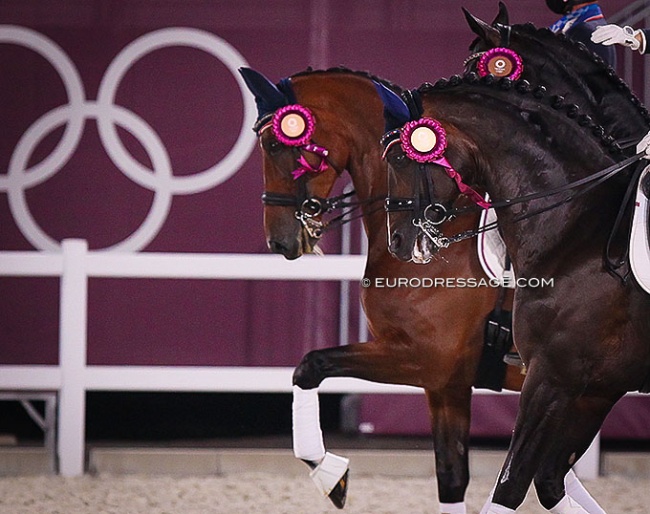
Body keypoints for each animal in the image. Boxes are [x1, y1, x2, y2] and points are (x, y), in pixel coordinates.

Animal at [240, 66, 524, 510]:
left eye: (273, 144)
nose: (279, 242)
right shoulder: (447, 382)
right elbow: (452, 476)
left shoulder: (425, 359)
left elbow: (311, 364)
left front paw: (330, 475)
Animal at [378, 29, 650, 514]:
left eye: (403, 160)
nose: (399, 242)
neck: (580, 226)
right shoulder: (594, 388)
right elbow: (549, 481)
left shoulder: (551, 377)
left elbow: (511, 486)